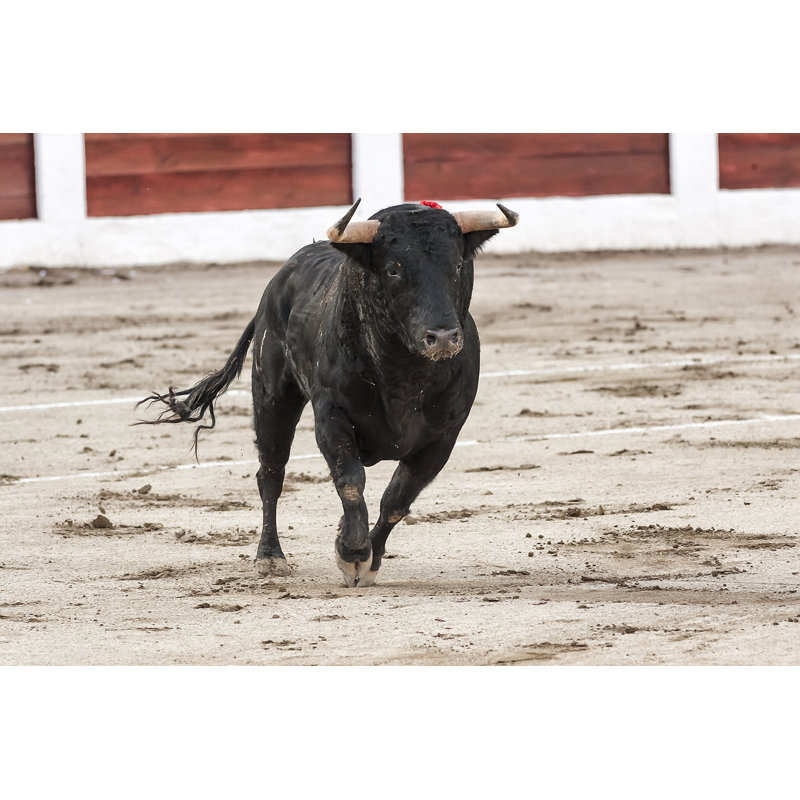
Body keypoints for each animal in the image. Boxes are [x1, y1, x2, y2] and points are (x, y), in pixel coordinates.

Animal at [138, 199, 519, 586]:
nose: (442, 338)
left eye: (456, 265)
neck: (405, 374)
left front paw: (369, 559)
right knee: (271, 473)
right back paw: (270, 556)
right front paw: (352, 553)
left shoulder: (443, 436)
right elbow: (350, 480)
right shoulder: (331, 415)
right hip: (273, 397)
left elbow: (397, 498)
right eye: (393, 270)